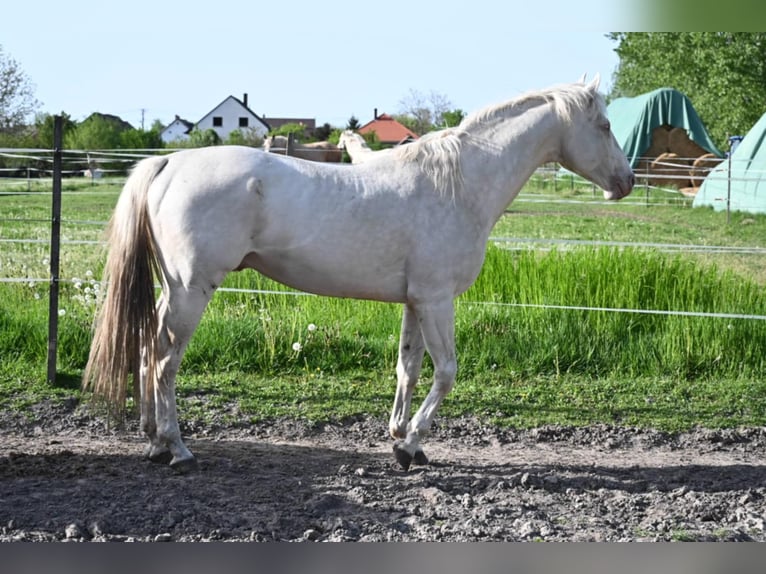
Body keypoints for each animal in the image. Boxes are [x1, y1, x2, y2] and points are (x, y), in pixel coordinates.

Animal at [83, 76, 634, 473]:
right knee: (164, 361)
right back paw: (176, 449)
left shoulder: (415, 301)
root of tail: (168, 162)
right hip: (192, 290)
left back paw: (153, 441)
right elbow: (447, 371)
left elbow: (408, 368)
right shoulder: (437, 300)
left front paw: (400, 438)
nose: (626, 182)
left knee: (147, 346)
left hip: (173, 289)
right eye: (605, 125)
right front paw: (410, 445)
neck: (458, 184)